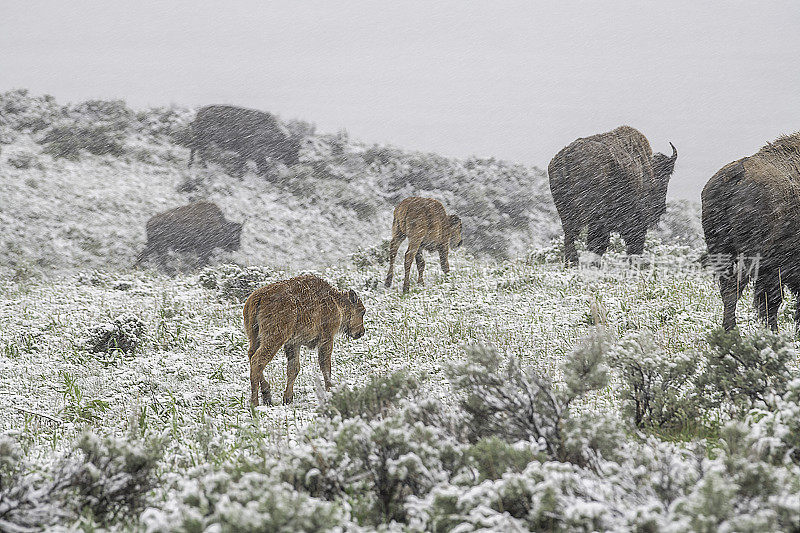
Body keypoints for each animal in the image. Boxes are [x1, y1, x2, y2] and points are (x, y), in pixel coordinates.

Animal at [242, 274, 368, 404]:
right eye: (362, 311)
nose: (361, 332)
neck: (336, 302)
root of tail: (258, 297)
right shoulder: (327, 338)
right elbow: (325, 365)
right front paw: (330, 390)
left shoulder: (293, 343)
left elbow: (294, 368)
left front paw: (288, 398)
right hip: (274, 338)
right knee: (258, 361)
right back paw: (255, 402)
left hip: (255, 337)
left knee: (251, 355)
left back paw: (267, 395)